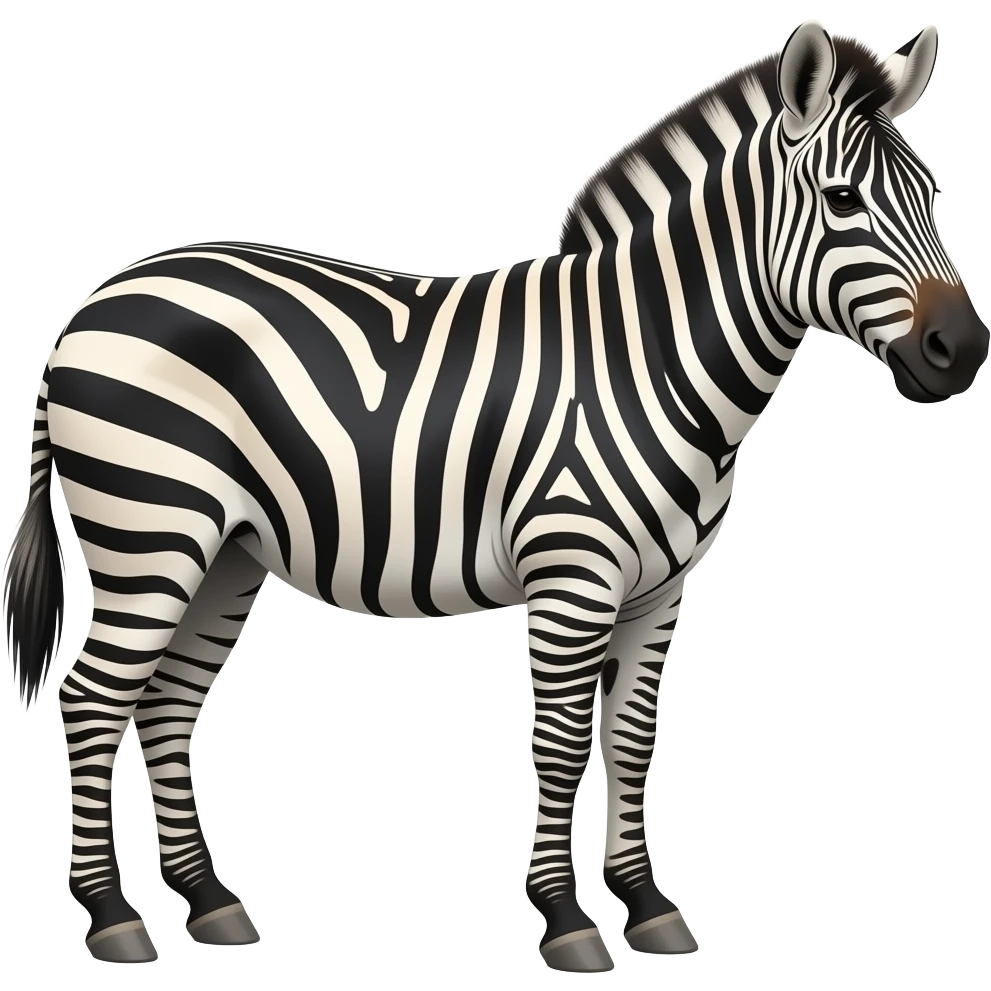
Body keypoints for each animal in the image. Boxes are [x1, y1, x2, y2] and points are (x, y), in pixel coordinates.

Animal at [2, 18, 987, 974]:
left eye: (932, 194)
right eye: (842, 200)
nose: (961, 351)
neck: (649, 358)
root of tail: (89, 306)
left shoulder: (660, 590)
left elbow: (631, 740)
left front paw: (648, 906)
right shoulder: (572, 576)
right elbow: (560, 743)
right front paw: (567, 920)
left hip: (225, 552)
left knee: (165, 702)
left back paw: (207, 901)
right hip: (150, 532)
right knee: (93, 699)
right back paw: (112, 917)